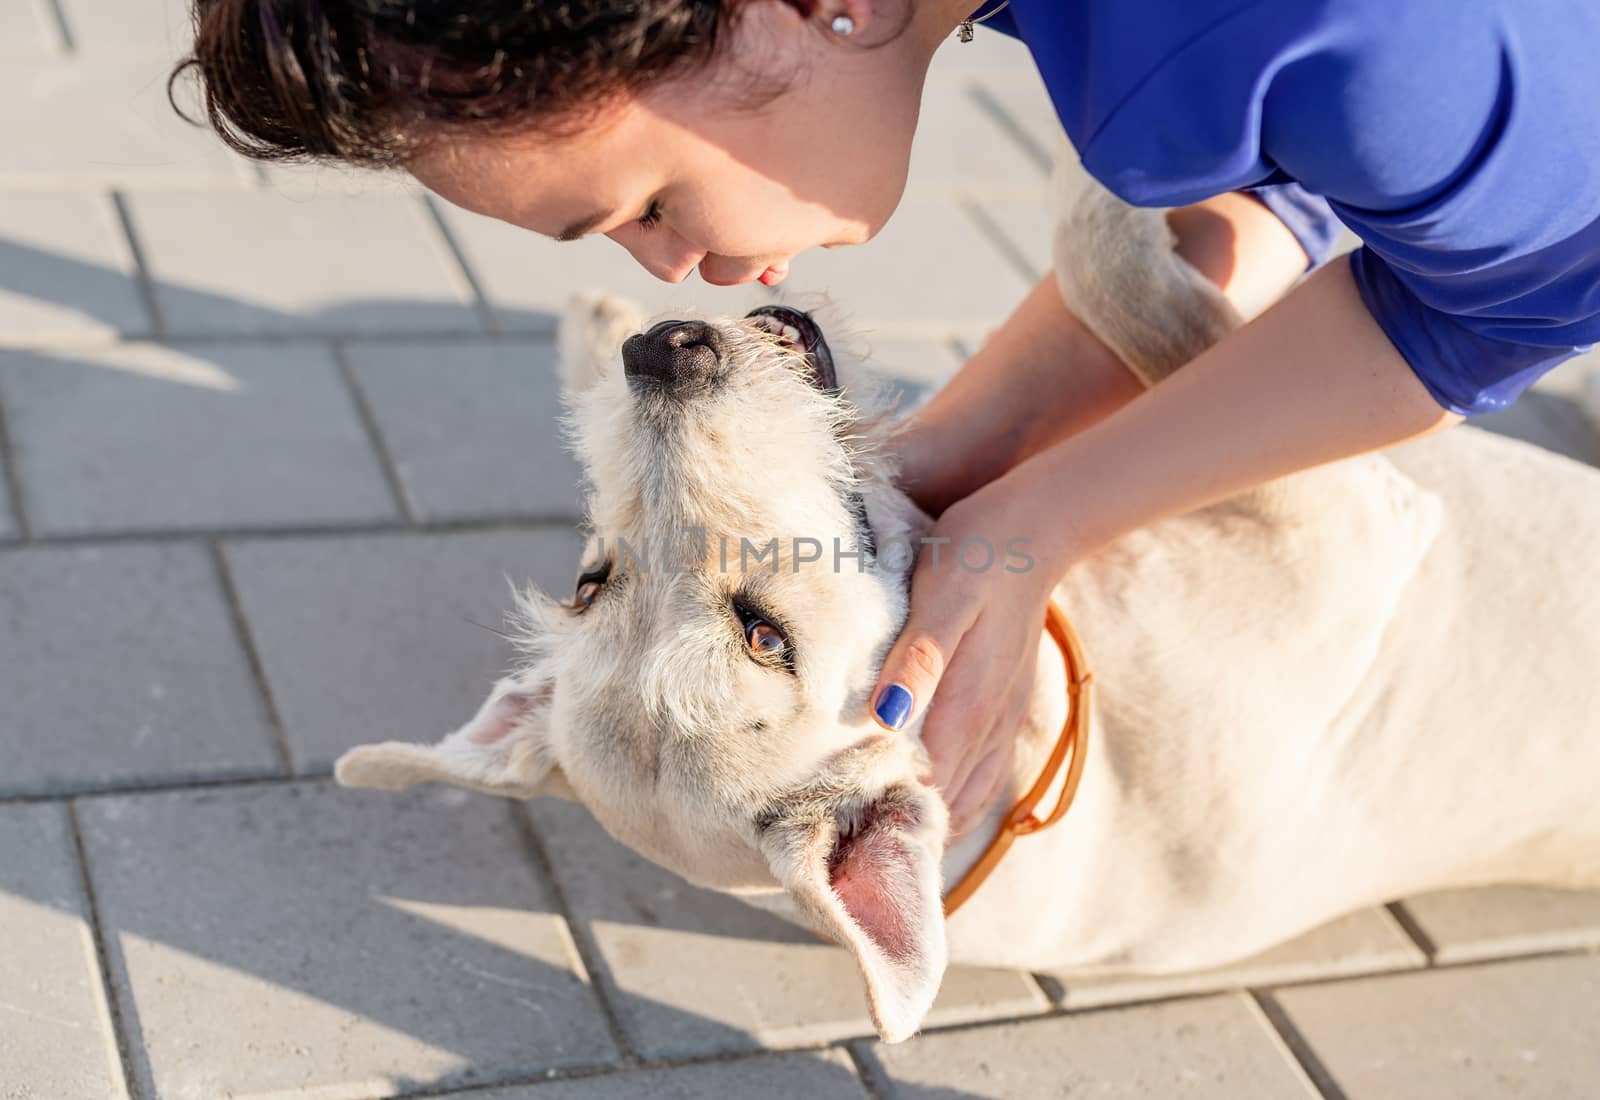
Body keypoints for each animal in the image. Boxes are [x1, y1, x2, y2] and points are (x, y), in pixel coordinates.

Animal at [334, 152, 1600, 1042]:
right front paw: (1106, 178)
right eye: (764, 634)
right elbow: (1128, 283)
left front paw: (589, 342)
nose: (667, 346)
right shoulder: (1346, 512)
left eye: (586, 581)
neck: (1052, 730)